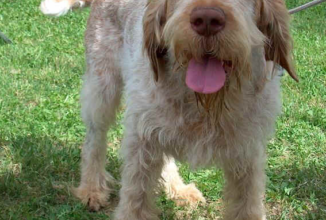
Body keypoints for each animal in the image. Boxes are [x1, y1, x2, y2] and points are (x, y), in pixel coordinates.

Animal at [42, 0, 296, 218]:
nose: (206, 20)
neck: (205, 104)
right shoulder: (140, 143)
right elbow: (135, 201)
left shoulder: (247, 153)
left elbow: (247, 205)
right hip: (102, 88)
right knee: (94, 140)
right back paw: (91, 189)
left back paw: (178, 188)